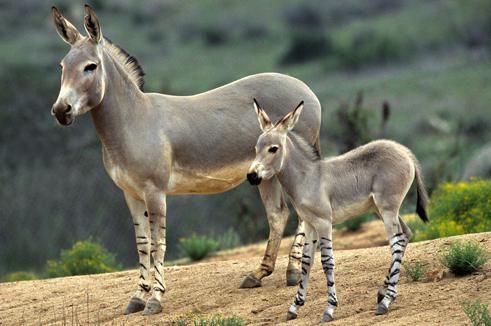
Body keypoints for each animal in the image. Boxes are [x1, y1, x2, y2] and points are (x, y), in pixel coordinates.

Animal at [248, 100, 428, 324]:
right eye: (256, 148)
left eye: (273, 149)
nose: (251, 176)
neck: (307, 178)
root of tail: (404, 151)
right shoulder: (309, 223)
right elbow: (306, 263)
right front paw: (294, 307)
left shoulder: (324, 222)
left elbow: (327, 262)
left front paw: (329, 309)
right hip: (380, 208)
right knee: (405, 234)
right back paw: (382, 294)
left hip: (387, 209)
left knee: (396, 242)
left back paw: (386, 301)